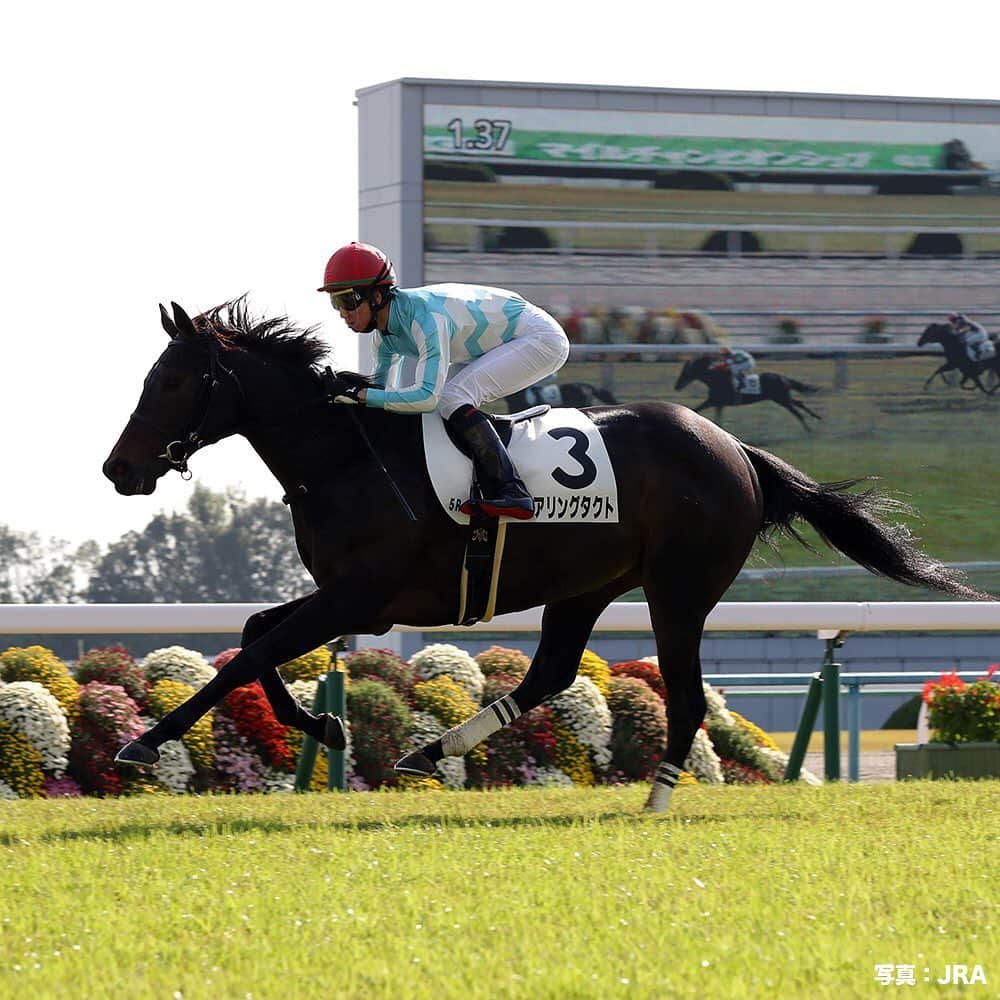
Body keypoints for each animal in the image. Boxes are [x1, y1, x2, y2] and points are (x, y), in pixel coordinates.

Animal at [674, 355, 822, 431]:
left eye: (685, 372)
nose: (676, 386)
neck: (716, 378)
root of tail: (783, 377)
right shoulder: (718, 403)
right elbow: (715, 416)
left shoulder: (713, 401)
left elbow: (696, 409)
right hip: (782, 397)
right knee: (799, 403)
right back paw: (816, 418)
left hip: (782, 399)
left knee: (796, 411)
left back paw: (809, 430)